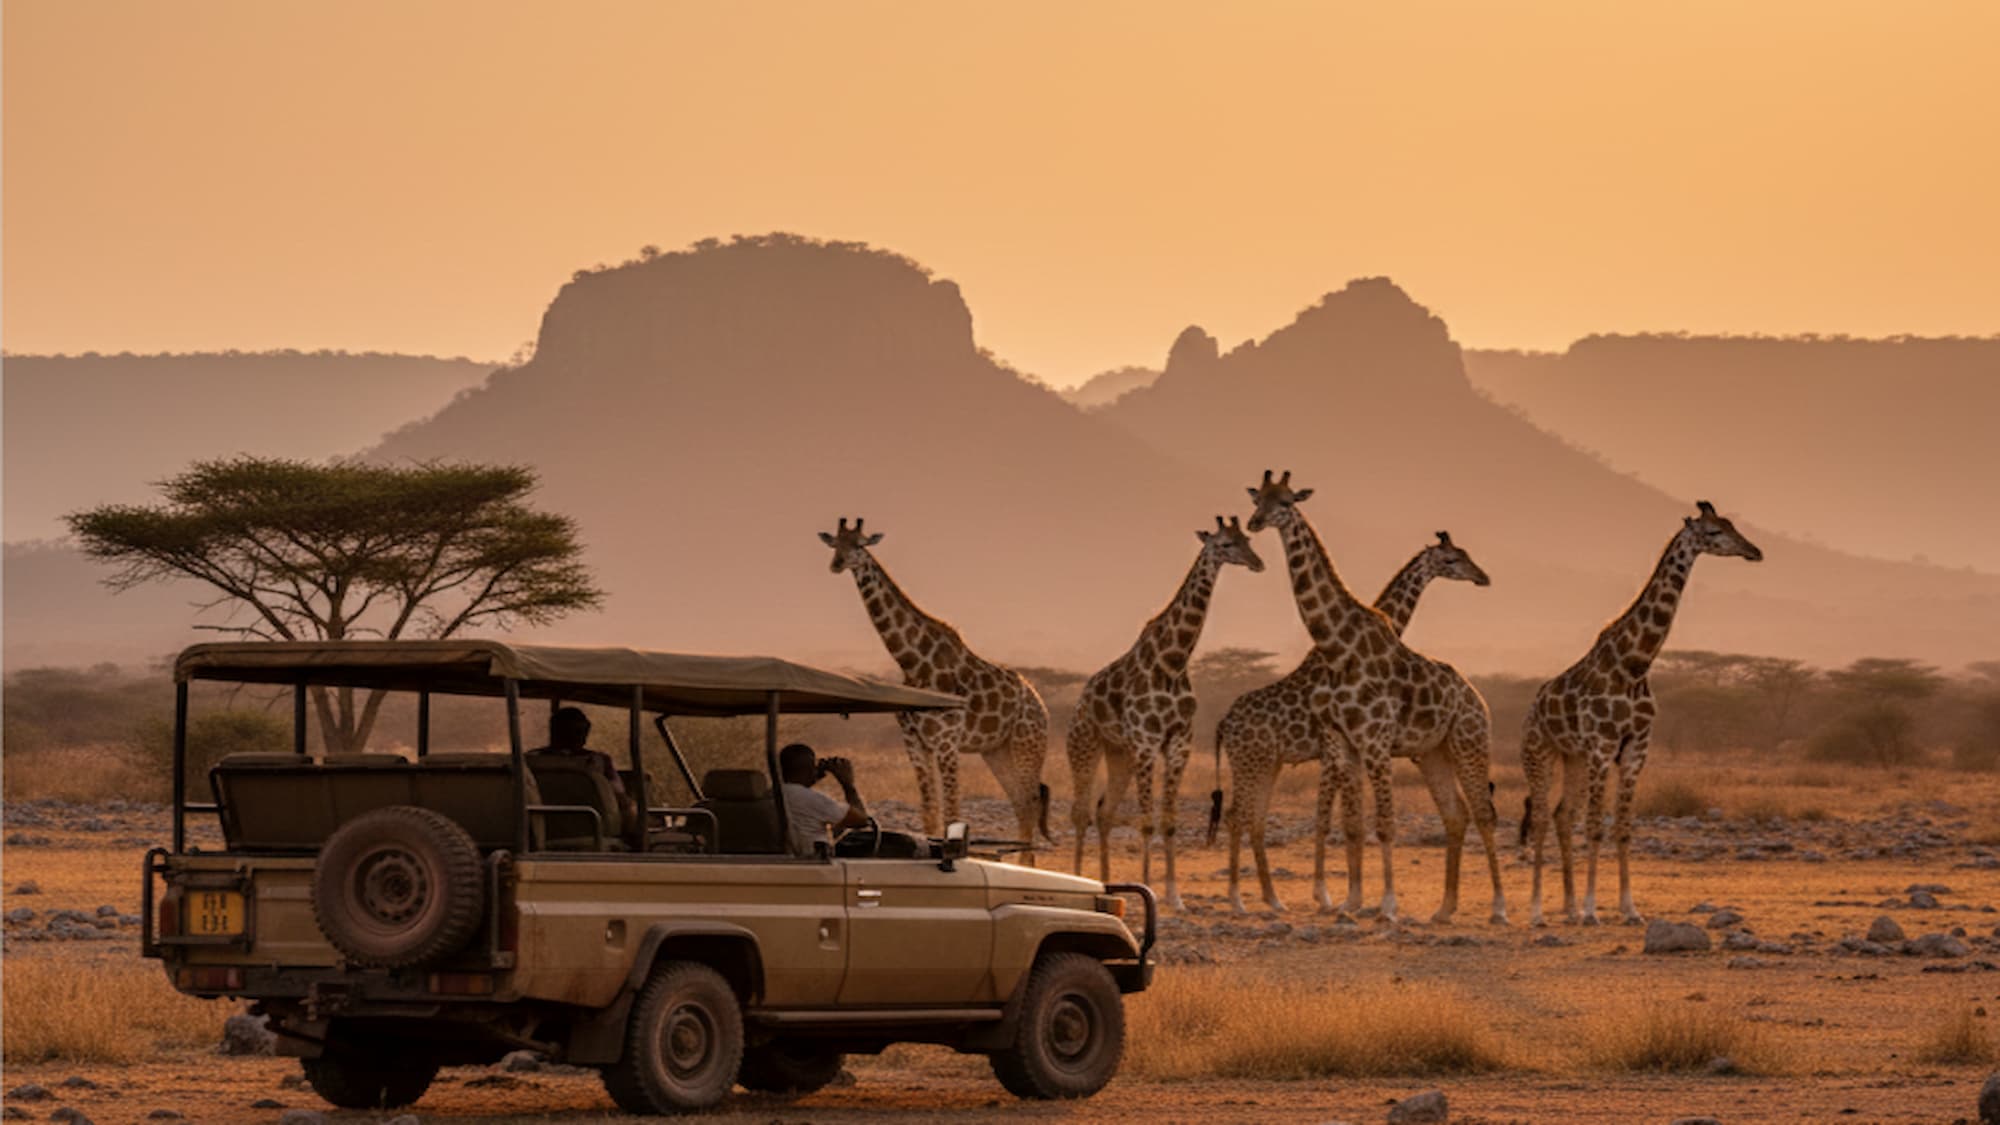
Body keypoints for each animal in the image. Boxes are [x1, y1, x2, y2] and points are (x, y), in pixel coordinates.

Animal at [819, 518, 1052, 862]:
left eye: (860, 544)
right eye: (835, 544)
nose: (836, 564)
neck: (913, 662)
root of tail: (1040, 704)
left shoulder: (946, 742)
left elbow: (951, 813)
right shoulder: (914, 742)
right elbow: (929, 811)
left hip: (1028, 743)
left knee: (1031, 801)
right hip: (995, 750)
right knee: (1020, 802)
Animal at [1067, 516, 1264, 911]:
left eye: (1247, 539)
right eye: (1224, 544)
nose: (1257, 562)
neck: (1173, 661)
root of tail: (1079, 703)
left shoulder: (1178, 742)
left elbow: (1169, 820)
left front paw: (1175, 897)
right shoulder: (1147, 742)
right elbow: (1146, 821)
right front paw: (1149, 886)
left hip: (1119, 753)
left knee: (1103, 812)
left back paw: (1106, 882)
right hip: (1085, 745)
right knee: (1080, 813)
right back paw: (1079, 878)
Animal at [1243, 471, 1507, 924]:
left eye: (1286, 502)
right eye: (1258, 498)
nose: (1254, 523)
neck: (1339, 648)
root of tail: (1477, 697)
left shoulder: (1375, 742)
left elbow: (1381, 823)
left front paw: (1384, 905)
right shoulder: (1342, 743)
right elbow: (1350, 824)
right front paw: (1349, 901)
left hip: (1467, 741)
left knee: (1481, 813)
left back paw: (1497, 908)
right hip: (1430, 753)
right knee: (1456, 814)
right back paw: (1444, 909)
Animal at [1520, 501, 1762, 926]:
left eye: (1731, 525)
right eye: (1714, 532)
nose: (1754, 551)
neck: (1635, 664)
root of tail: (1532, 709)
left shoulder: (1636, 747)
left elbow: (1624, 827)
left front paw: (1629, 910)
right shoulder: (1603, 745)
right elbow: (1596, 827)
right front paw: (1592, 911)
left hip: (1573, 757)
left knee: (1563, 815)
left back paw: (1567, 907)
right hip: (1541, 752)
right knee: (1541, 819)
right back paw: (1538, 913)